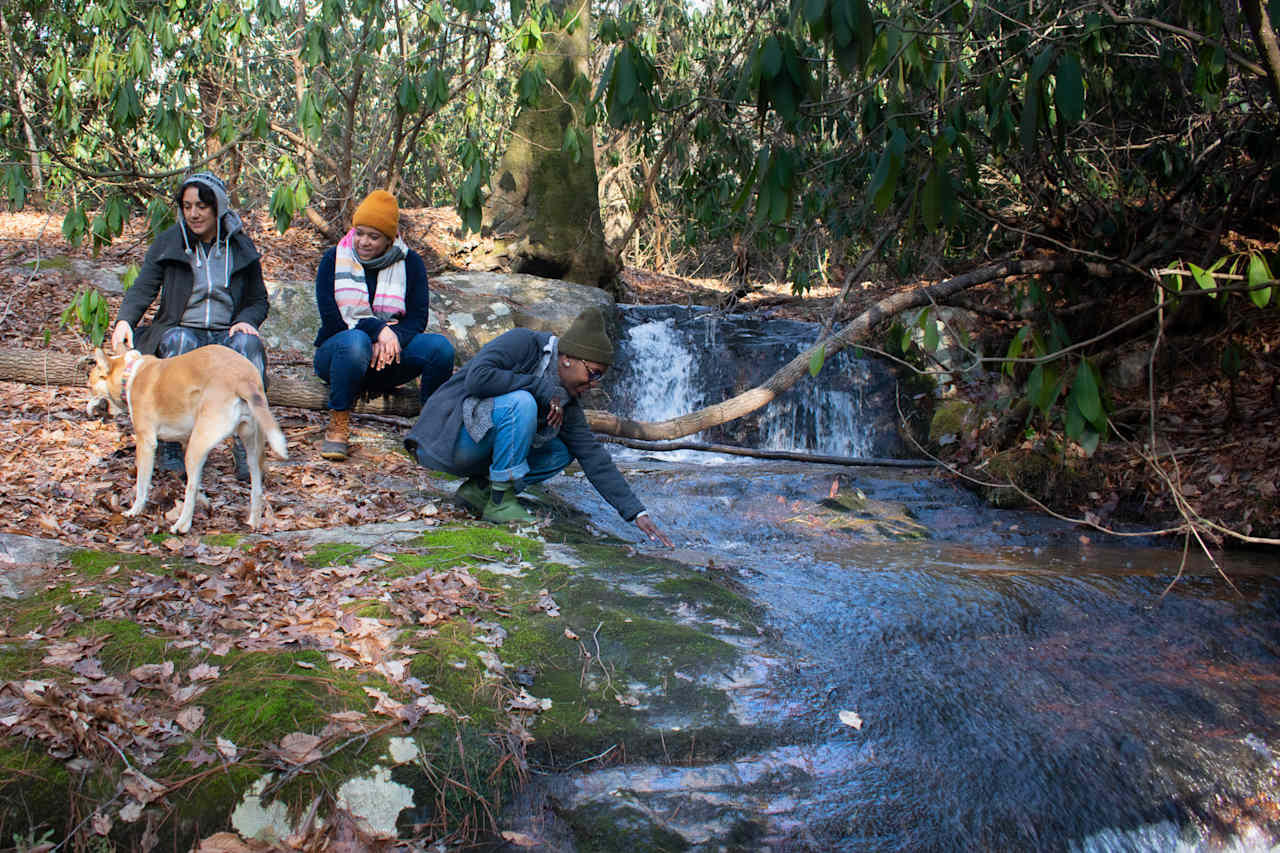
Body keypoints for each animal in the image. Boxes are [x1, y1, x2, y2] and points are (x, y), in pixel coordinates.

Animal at [88, 345, 289, 532]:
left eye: (90, 387)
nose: (88, 411)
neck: (130, 374)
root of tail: (242, 378)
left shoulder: (146, 442)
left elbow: (142, 484)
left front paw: (135, 510)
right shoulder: (186, 439)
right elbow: (197, 484)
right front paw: (206, 502)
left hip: (196, 447)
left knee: (190, 492)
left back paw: (181, 525)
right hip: (250, 449)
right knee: (256, 488)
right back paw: (253, 522)